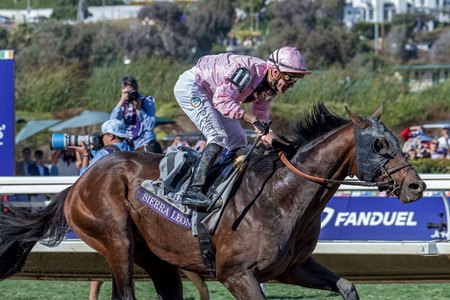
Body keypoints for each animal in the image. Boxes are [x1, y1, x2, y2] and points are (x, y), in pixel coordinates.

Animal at [0, 103, 426, 300]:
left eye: (395, 139)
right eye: (380, 144)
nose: (417, 186)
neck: (281, 196)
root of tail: (77, 183)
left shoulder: (293, 267)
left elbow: (348, 287)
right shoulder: (236, 274)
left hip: (158, 259)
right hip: (116, 241)